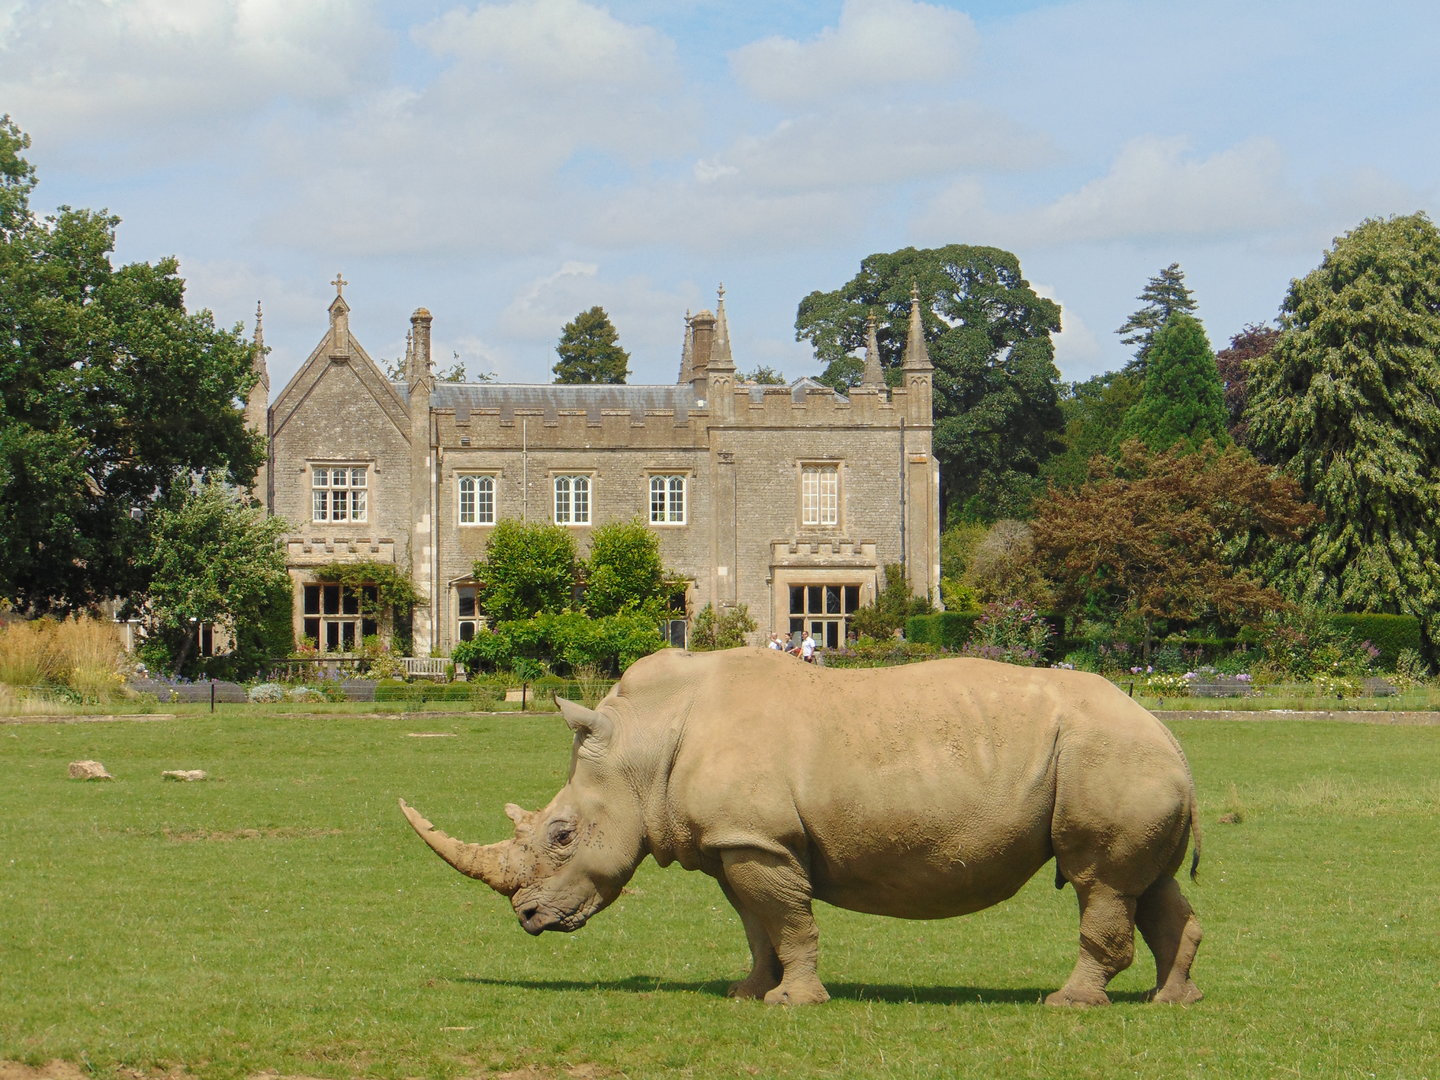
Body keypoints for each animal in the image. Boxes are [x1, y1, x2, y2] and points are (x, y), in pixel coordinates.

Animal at [400, 647, 1203, 1007]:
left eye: (562, 835)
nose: (528, 918)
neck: (642, 746)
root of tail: (1171, 735)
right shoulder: (737, 841)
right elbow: (756, 924)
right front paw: (748, 993)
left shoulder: (759, 841)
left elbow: (788, 921)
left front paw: (793, 1003)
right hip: (1131, 762)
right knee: (1148, 886)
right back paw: (1172, 1002)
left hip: (1110, 758)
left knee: (1101, 882)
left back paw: (1068, 1004)